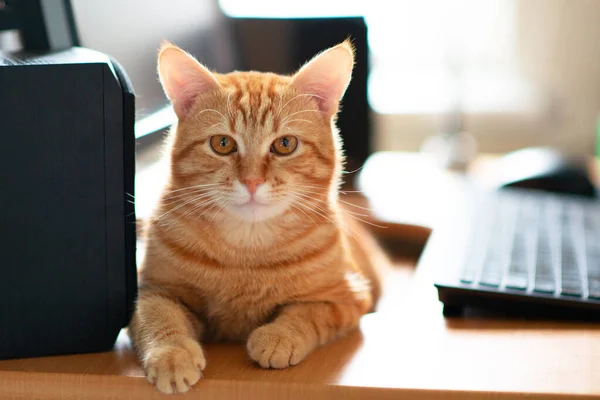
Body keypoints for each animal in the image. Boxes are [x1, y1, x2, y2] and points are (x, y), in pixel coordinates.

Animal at [130, 40, 384, 394]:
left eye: (285, 144)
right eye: (222, 143)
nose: (252, 181)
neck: (247, 252)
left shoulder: (345, 297)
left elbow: (305, 314)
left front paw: (278, 337)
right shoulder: (152, 289)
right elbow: (159, 317)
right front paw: (171, 355)